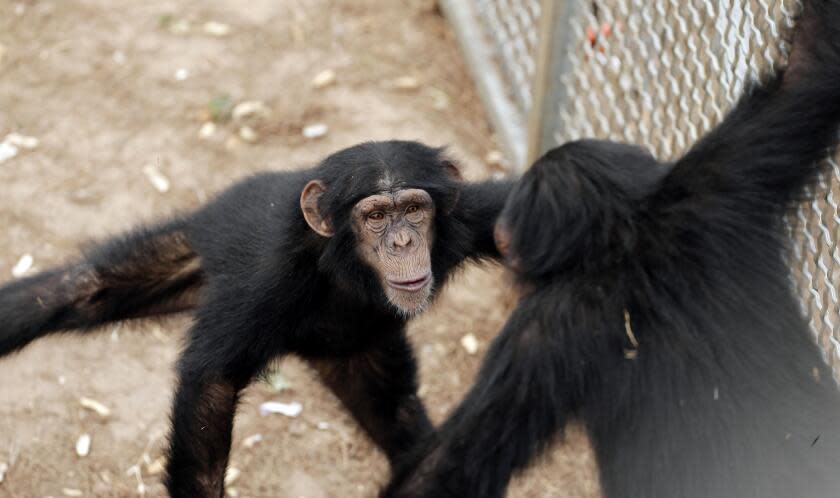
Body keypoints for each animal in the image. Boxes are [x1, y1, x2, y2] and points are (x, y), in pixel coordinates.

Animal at [0, 140, 512, 498]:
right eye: (376, 216)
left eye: (414, 208)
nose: (403, 242)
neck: (348, 266)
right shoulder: (268, 277)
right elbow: (212, 382)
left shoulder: (471, 215)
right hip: (200, 247)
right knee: (85, 288)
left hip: (364, 357)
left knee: (401, 415)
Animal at [384, 1, 840, 496]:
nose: (503, 228)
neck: (629, 237)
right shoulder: (719, 176)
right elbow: (807, 71)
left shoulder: (544, 331)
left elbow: (460, 457)